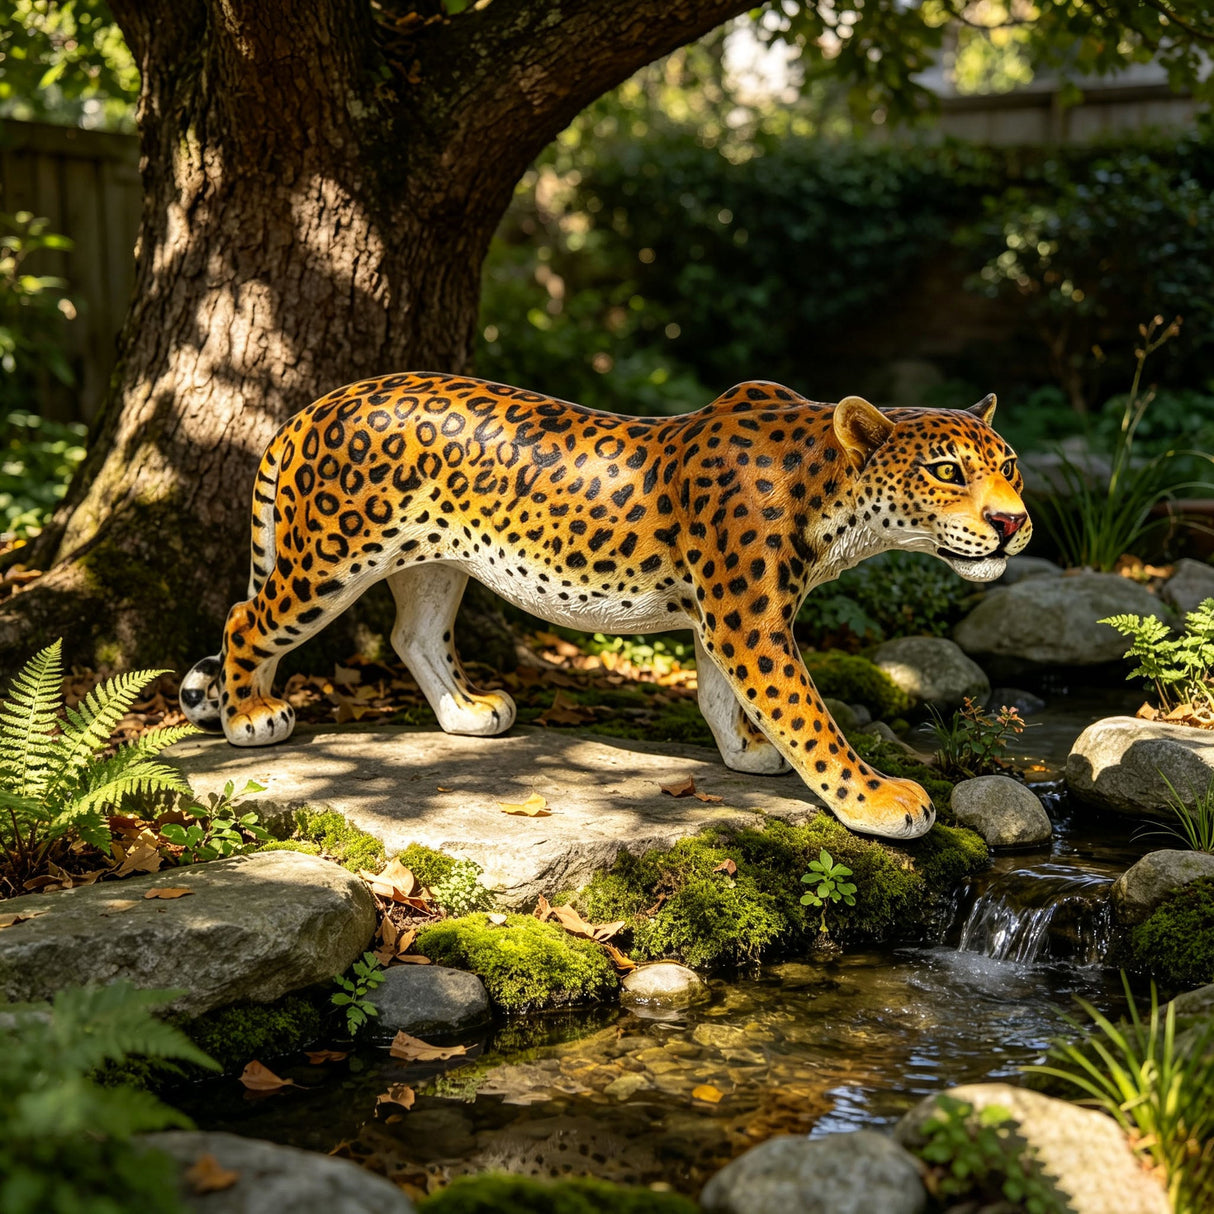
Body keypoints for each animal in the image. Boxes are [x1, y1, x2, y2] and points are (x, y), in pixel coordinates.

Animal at [180, 373, 1030, 840]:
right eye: (948, 470)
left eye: (1011, 466)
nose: (1012, 522)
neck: (834, 500)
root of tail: (319, 402)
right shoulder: (750, 618)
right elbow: (808, 717)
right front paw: (877, 800)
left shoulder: (725, 615)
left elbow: (720, 694)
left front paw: (745, 751)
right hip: (331, 556)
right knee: (246, 619)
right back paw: (250, 716)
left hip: (435, 558)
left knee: (412, 634)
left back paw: (467, 713)